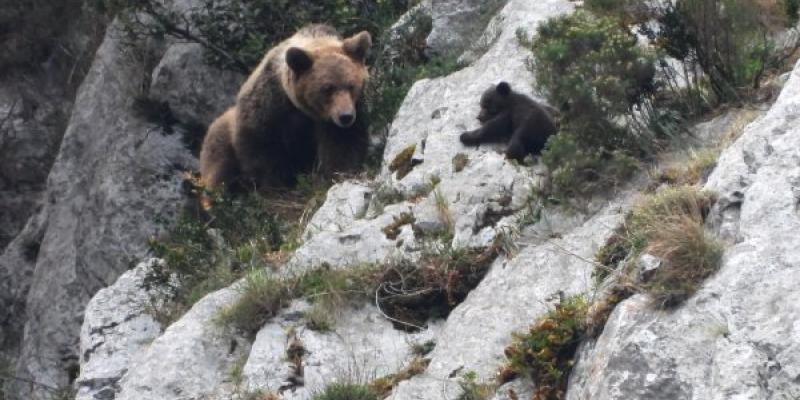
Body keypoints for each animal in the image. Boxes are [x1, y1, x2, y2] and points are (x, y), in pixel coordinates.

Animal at [202, 24, 374, 191]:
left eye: (351, 85)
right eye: (327, 88)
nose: (345, 116)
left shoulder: (340, 117)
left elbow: (342, 143)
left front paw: (338, 173)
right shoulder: (269, 105)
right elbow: (262, 146)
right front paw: (276, 184)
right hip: (220, 139)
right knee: (221, 170)